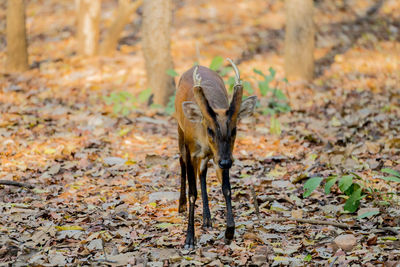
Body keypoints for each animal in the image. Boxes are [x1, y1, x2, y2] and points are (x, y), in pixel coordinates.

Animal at [174, 58, 256, 249]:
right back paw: (181, 206)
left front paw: (229, 231)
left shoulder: (220, 155)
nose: (226, 162)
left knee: (202, 173)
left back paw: (207, 219)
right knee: (181, 161)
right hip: (180, 131)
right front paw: (189, 239)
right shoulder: (192, 150)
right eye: (210, 130)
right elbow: (192, 193)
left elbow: (226, 189)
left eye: (234, 130)